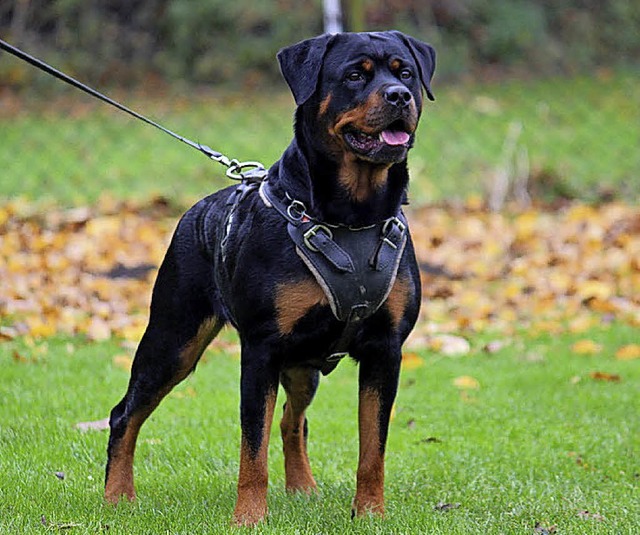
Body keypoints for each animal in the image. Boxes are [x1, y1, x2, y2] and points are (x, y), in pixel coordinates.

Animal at [106, 30, 436, 528]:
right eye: (354, 75)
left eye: (406, 73)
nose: (399, 96)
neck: (352, 215)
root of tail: (194, 210)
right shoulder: (260, 349)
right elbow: (252, 448)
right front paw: (248, 518)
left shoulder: (386, 348)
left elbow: (372, 449)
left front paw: (370, 514)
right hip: (174, 341)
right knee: (124, 413)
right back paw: (117, 497)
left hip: (303, 363)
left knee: (292, 418)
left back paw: (303, 487)